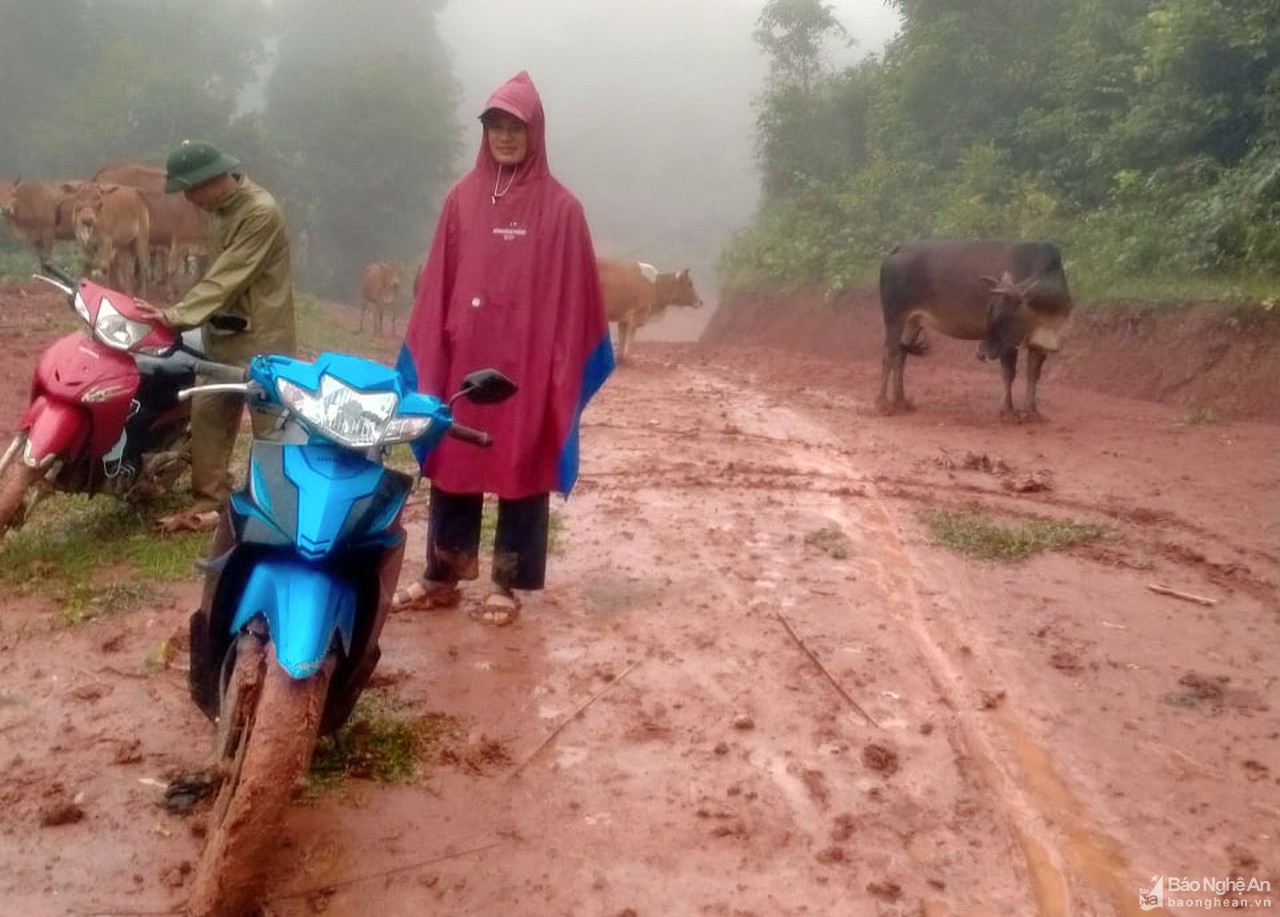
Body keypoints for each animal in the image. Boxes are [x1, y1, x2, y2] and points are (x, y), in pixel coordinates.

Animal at [880, 239, 1070, 420]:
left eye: (999, 316)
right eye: (989, 313)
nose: (980, 353)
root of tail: (901, 247)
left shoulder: (1039, 342)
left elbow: (1033, 374)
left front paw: (1032, 412)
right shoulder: (1007, 345)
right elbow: (1009, 374)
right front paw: (1008, 412)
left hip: (912, 322)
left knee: (900, 356)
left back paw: (900, 402)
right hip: (894, 317)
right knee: (889, 354)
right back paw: (881, 403)